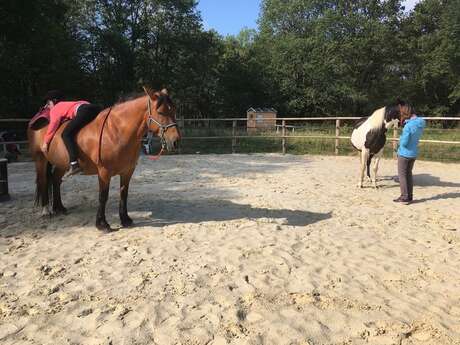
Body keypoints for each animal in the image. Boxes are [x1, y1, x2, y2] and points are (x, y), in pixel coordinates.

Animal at [27, 87, 181, 231]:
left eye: (174, 110)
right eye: (160, 112)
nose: (175, 141)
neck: (115, 131)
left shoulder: (127, 171)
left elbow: (123, 194)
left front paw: (125, 219)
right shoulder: (104, 172)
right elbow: (103, 196)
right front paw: (102, 224)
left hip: (61, 163)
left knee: (56, 180)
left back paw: (59, 208)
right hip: (40, 160)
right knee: (43, 181)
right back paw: (46, 211)